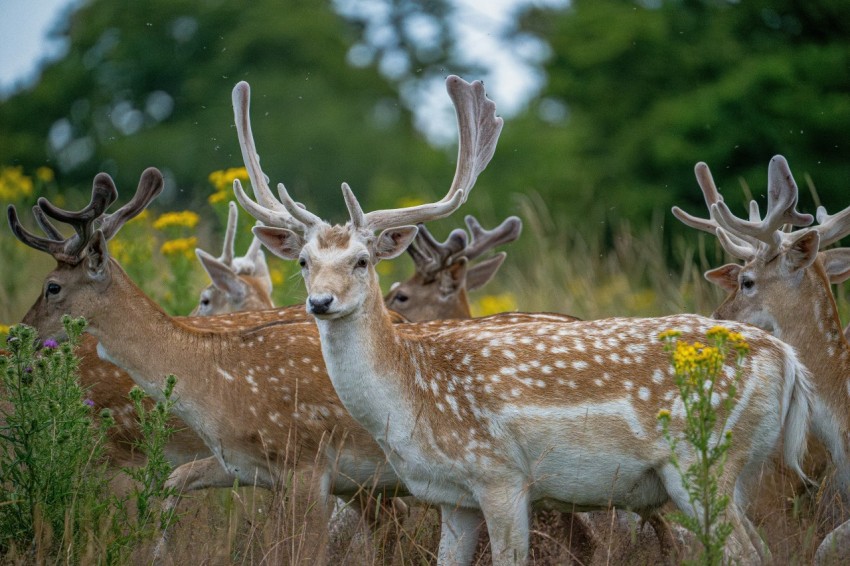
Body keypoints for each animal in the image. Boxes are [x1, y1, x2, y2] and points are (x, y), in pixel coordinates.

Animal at [234, 76, 816, 566]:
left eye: (362, 260)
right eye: (303, 261)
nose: (320, 302)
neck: (413, 399)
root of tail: (788, 359)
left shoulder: (502, 477)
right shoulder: (453, 498)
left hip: (704, 461)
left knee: (750, 553)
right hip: (736, 473)